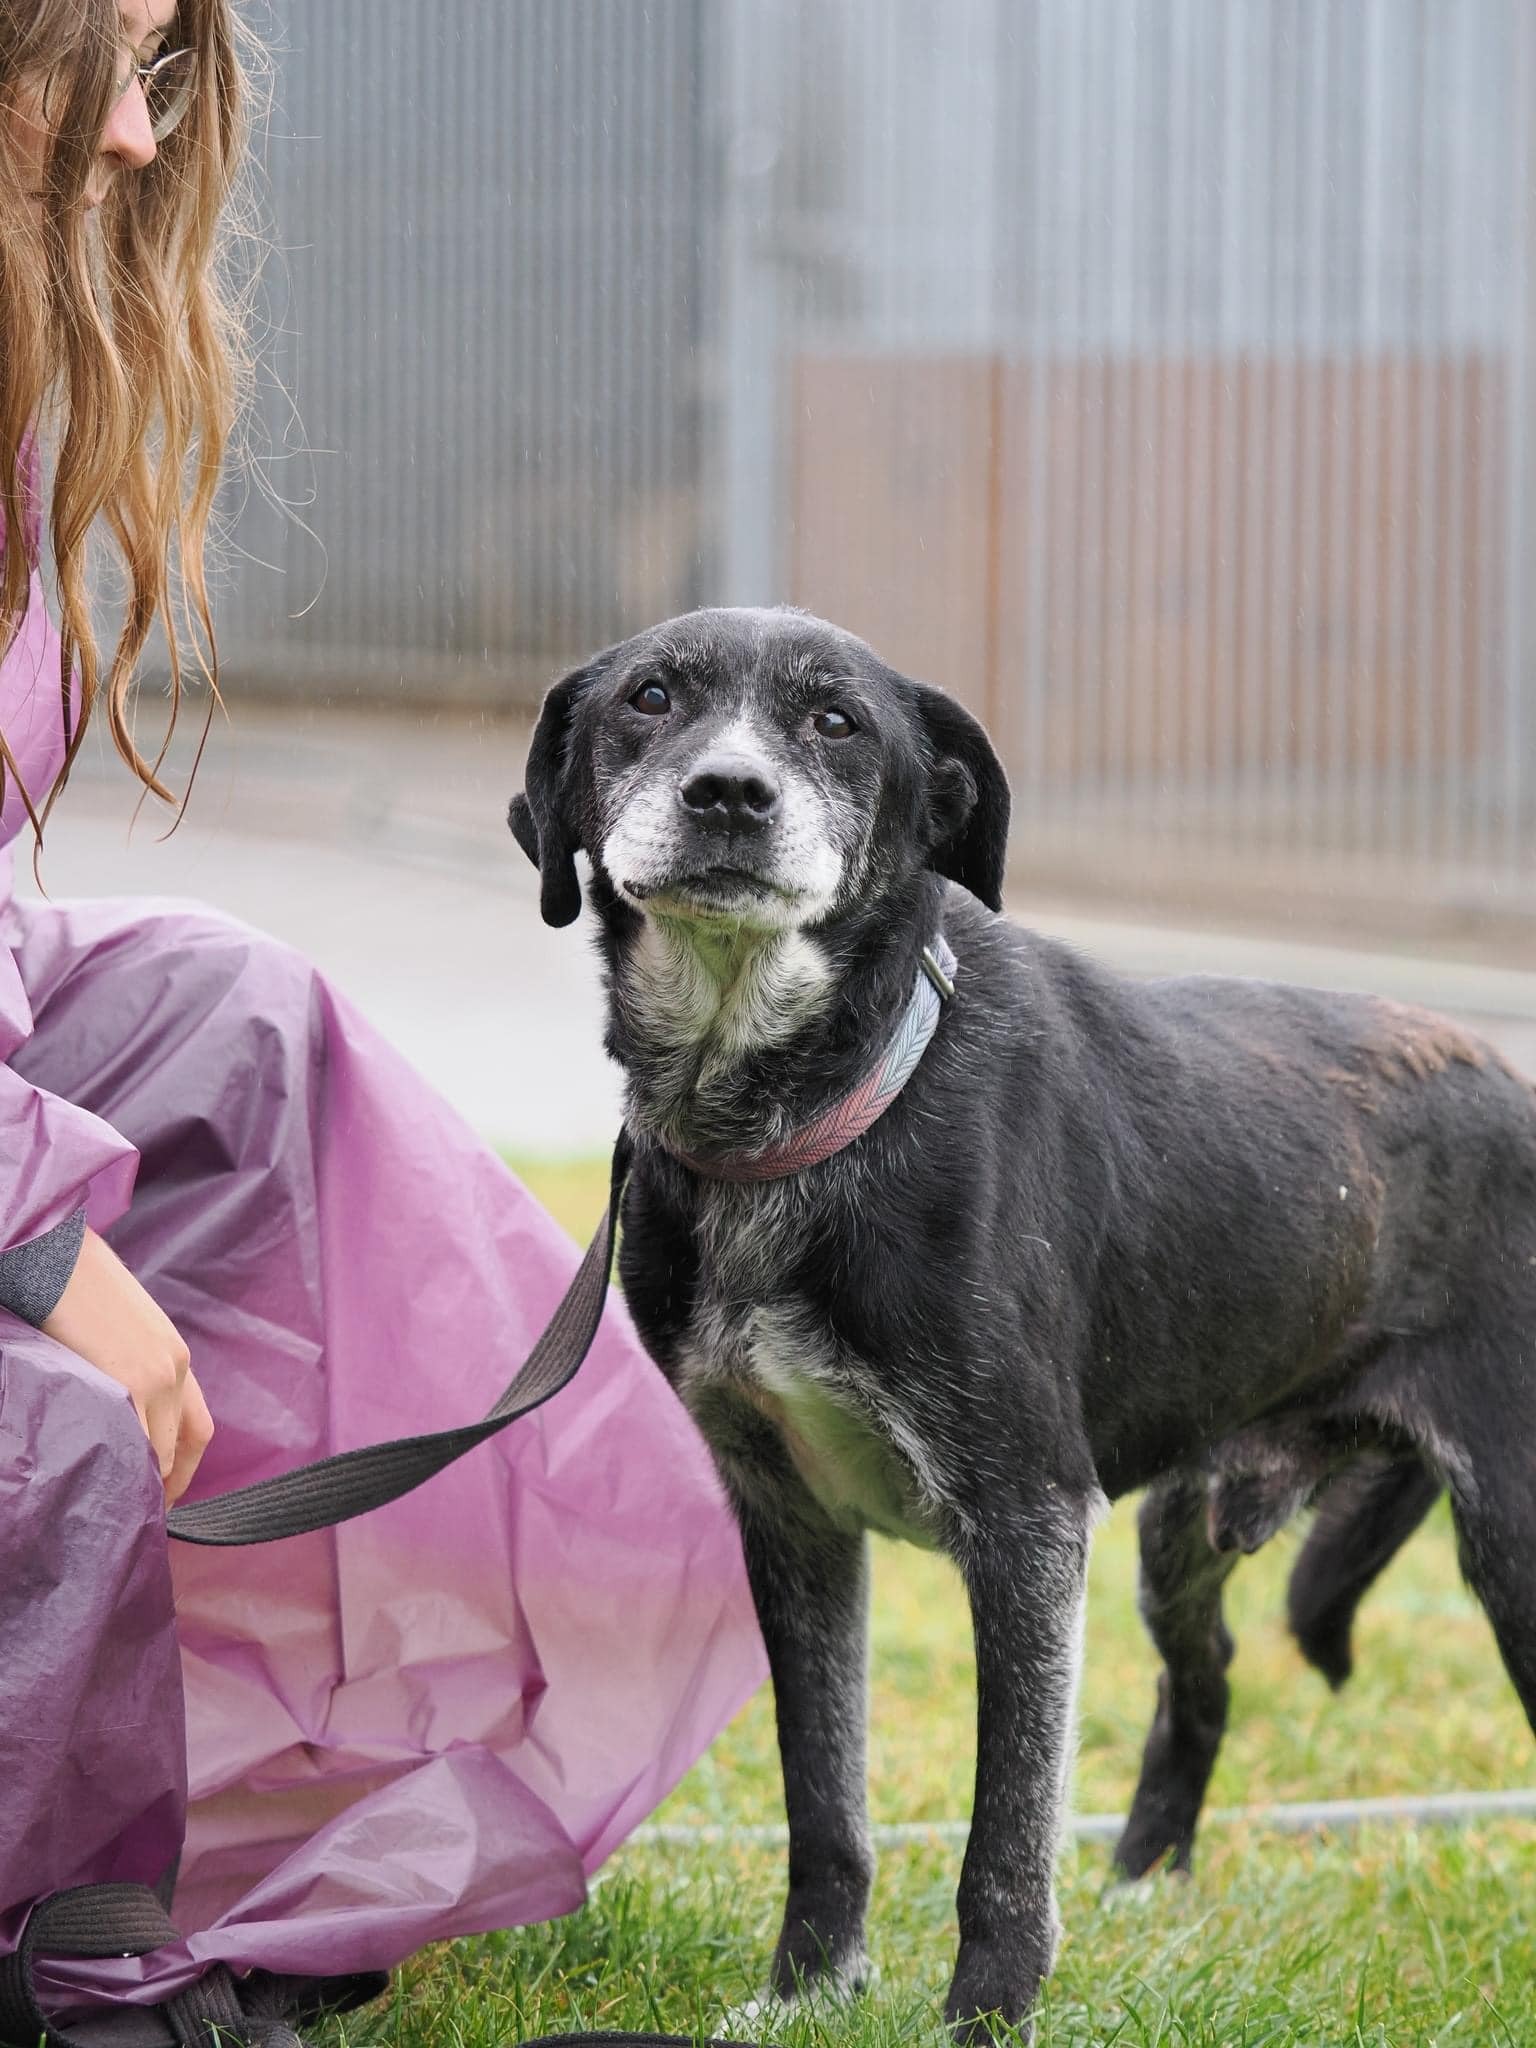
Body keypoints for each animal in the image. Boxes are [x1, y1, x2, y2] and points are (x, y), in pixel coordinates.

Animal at [512, 602, 1531, 2031]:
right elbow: (825, 1800)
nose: (729, 793)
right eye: (651, 697)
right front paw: (810, 1991)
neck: (805, 1110)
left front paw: (986, 2017)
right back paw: (1145, 1887)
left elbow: (1004, 1831)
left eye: (838, 720)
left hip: (1513, 1536)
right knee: (1203, 1683)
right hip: (1179, 1528)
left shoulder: (1029, 1523)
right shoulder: (793, 1518)